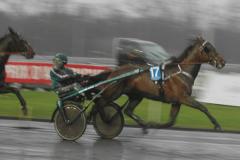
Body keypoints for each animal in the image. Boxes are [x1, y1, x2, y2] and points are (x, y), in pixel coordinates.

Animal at [95, 36, 225, 132]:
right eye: (209, 48)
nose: (223, 61)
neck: (181, 72)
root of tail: (114, 71)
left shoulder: (176, 102)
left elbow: (171, 121)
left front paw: (154, 124)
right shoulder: (183, 97)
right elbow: (203, 107)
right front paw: (217, 125)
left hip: (137, 95)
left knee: (128, 110)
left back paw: (144, 125)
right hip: (114, 92)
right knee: (100, 102)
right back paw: (105, 119)